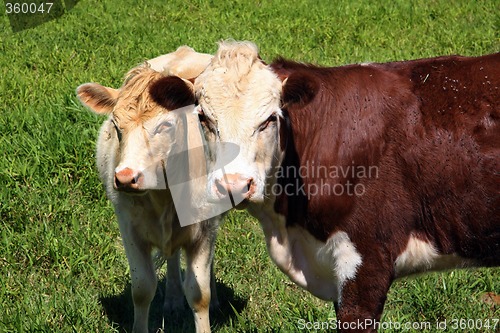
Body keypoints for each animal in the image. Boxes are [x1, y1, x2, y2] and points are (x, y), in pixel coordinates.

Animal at [77, 46, 220, 332]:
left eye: (165, 125)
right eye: (116, 126)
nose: (125, 178)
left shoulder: (205, 230)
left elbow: (200, 294)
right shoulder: (130, 228)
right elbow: (143, 289)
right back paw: (173, 301)